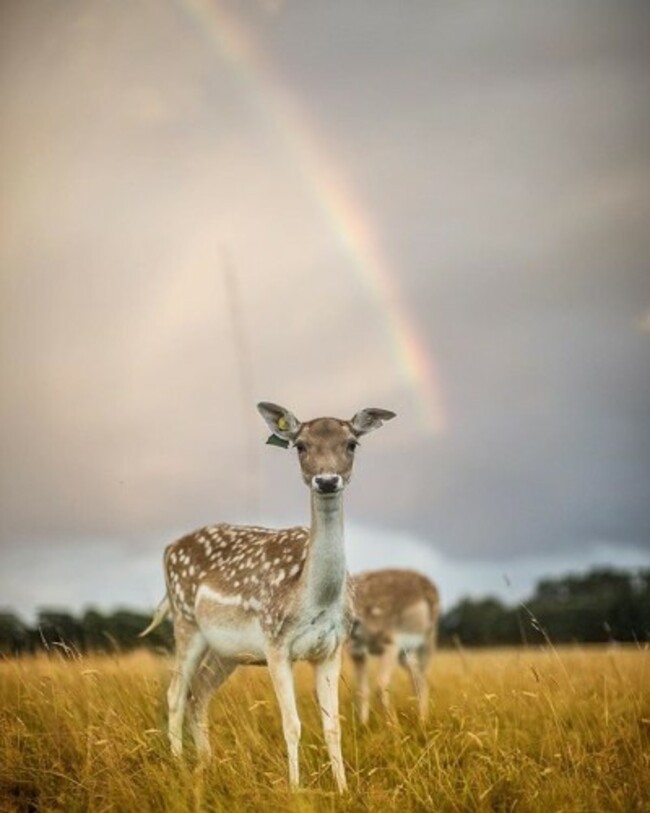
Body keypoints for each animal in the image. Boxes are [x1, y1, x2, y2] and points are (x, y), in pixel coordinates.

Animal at [142, 402, 394, 788]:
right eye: (300, 445)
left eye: (352, 443)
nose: (326, 480)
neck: (314, 598)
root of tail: (169, 548)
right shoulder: (276, 643)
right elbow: (292, 725)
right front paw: (295, 789)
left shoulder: (332, 646)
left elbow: (333, 726)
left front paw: (343, 788)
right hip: (186, 622)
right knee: (175, 693)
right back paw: (179, 764)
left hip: (227, 651)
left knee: (199, 693)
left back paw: (206, 763)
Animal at [346, 568, 438, 720]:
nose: (356, 622)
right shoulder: (356, 652)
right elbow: (362, 690)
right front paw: (363, 724)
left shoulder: (389, 643)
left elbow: (380, 686)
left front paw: (392, 724)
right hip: (406, 653)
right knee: (419, 681)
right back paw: (422, 720)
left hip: (422, 644)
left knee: (421, 679)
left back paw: (422, 720)